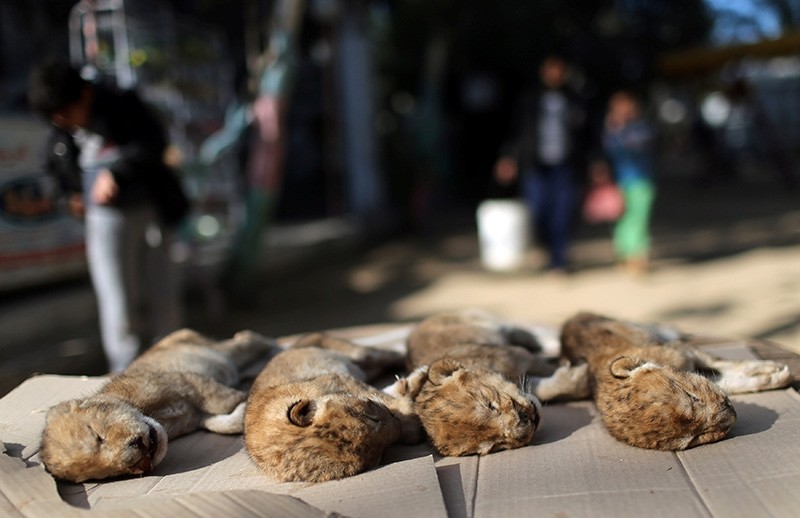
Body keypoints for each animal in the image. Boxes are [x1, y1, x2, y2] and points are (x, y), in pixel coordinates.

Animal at [39, 328, 277, 483]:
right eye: (110, 473)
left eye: (98, 436)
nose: (142, 462)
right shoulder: (198, 415)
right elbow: (221, 423)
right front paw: (243, 410)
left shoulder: (189, 383)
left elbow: (225, 398)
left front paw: (250, 397)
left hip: (220, 351)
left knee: (246, 338)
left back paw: (272, 346)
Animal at [244, 333, 422, 483]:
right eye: (378, 454)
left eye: (370, 417)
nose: (395, 420)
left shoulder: (340, 379)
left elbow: (385, 398)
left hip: (358, 353)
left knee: (389, 356)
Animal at [385, 309, 591, 457]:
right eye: (496, 445)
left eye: (490, 404)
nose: (528, 422)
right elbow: (546, 388)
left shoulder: (520, 355)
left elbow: (546, 368)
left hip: (492, 323)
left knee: (530, 332)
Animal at [560, 312, 793, 450]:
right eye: (695, 437)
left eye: (691, 396)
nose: (731, 417)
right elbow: (733, 379)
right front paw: (773, 375)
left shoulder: (686, 351)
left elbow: (727, 364)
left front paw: (775, 370)